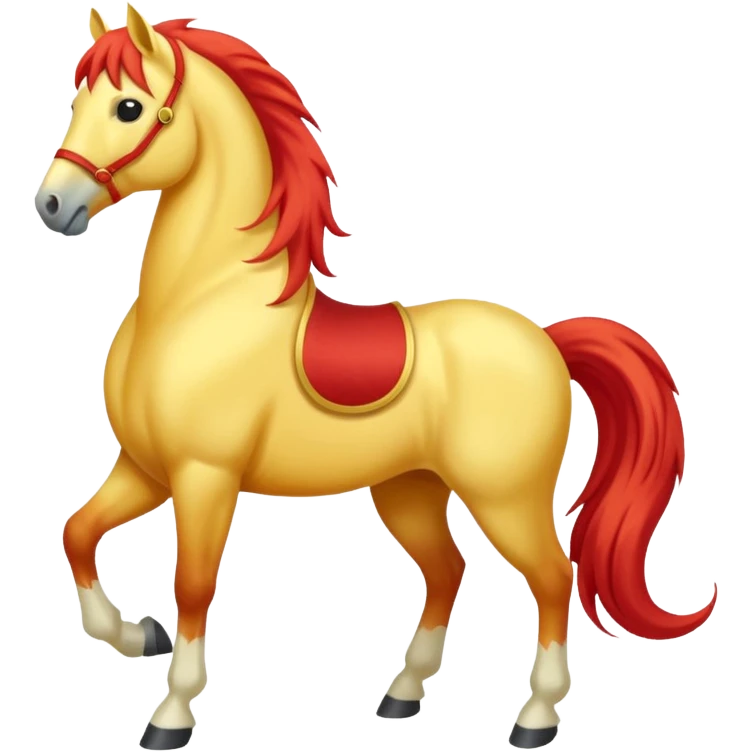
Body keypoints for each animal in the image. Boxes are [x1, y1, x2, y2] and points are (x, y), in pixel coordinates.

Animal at [36, 5, 718, 750]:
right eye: (77, 101)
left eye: (129, 107)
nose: (54, 206)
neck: (200, 301)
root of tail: (546, 340)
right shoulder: (145, 467)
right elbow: (77, 533)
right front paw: (138, 636)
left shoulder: (203, 474)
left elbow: (190, 583)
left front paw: (171, 713)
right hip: (409, 489)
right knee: (449, 570)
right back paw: (402, 694)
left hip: (504, 496)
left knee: (551, 576)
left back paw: (535, 718)